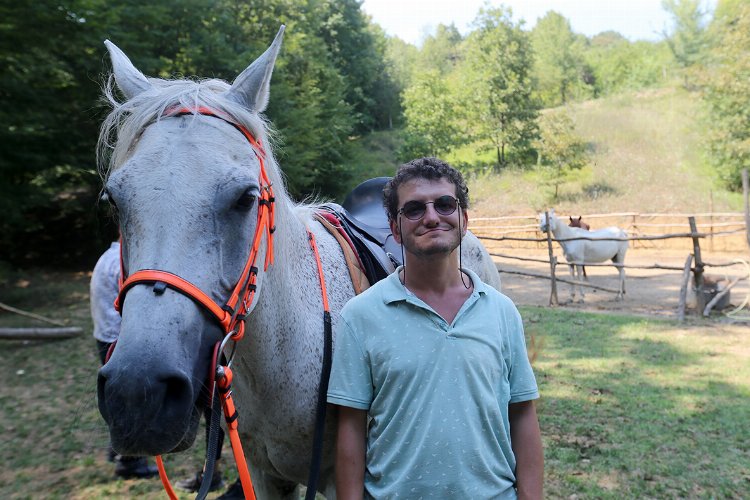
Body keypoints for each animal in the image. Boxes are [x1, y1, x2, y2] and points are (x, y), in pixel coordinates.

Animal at [95, 28, 506, 500]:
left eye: (245, 198)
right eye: (113, 200)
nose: (137, 394)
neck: (280, 354)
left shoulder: (336, 477)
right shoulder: (262, 472)